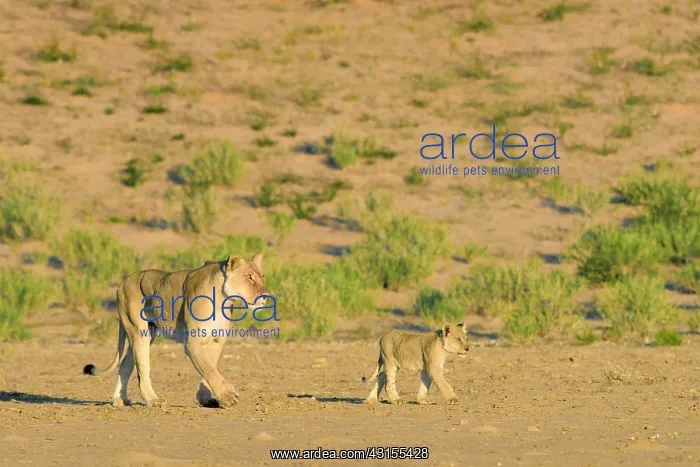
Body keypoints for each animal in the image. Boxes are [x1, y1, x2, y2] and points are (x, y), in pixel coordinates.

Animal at [83, 253, 270, 409]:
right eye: (249, 277)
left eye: (262, 277)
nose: (266, 295)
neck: (223, 298)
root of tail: (122, 283)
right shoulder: (192, 342)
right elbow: (208, 369)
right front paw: (229, 396)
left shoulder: (217, 339)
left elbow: (210, 367)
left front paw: (206, 398)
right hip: (139, 331)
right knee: (142, 369)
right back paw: (153, 400)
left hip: (145, 332)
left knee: (124, 364)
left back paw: (120, 400)